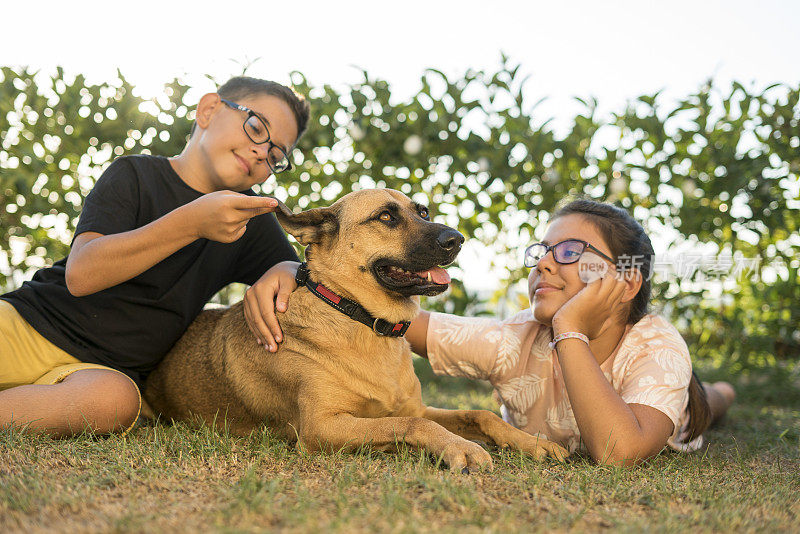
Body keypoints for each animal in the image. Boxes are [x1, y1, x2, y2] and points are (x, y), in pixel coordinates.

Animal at [145, 189, 568, 474]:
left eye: (422, 211)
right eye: (386, 217)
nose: (456, 239)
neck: (362, 321)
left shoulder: (416, 406)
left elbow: (479, 415)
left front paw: (531, 443)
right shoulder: (321, 427)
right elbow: (412, 424)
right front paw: (455, 447)